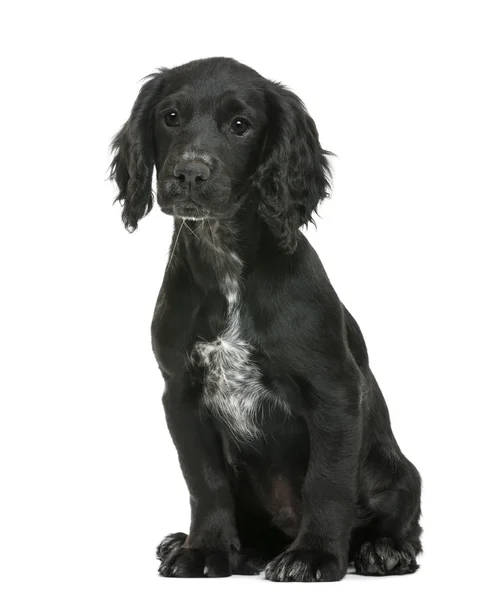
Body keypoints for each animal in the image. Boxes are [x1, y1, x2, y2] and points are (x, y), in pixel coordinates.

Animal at [111, 56, 422, 580]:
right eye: (170, 117)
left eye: (241, 125)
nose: (189, 173)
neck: (225, 262)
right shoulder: (181, 395)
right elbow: (205, 482)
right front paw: (204, 550)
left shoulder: (335, 392)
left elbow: (327, 482)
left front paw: (315, 555)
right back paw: (213, 544)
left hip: (394, 470)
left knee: (402, 516)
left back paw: (382, 549)